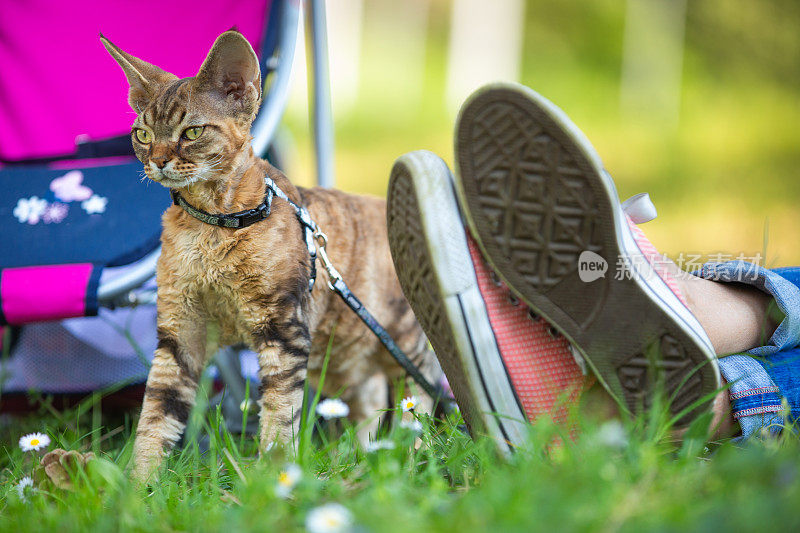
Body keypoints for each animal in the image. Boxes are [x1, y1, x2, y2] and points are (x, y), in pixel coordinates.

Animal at [102, 29, 440, 480]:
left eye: (192, 132)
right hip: (338, 357)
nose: (156, 160)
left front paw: (273, 480)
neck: (210, 227)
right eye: (142, 134)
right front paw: (139, 487)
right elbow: (156, 415)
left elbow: (279, 417)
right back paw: (354, 460)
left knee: (421, 391)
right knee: (366, 400)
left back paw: (410, 454)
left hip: (396, 338)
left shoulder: (283, 328)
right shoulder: (180, 331)